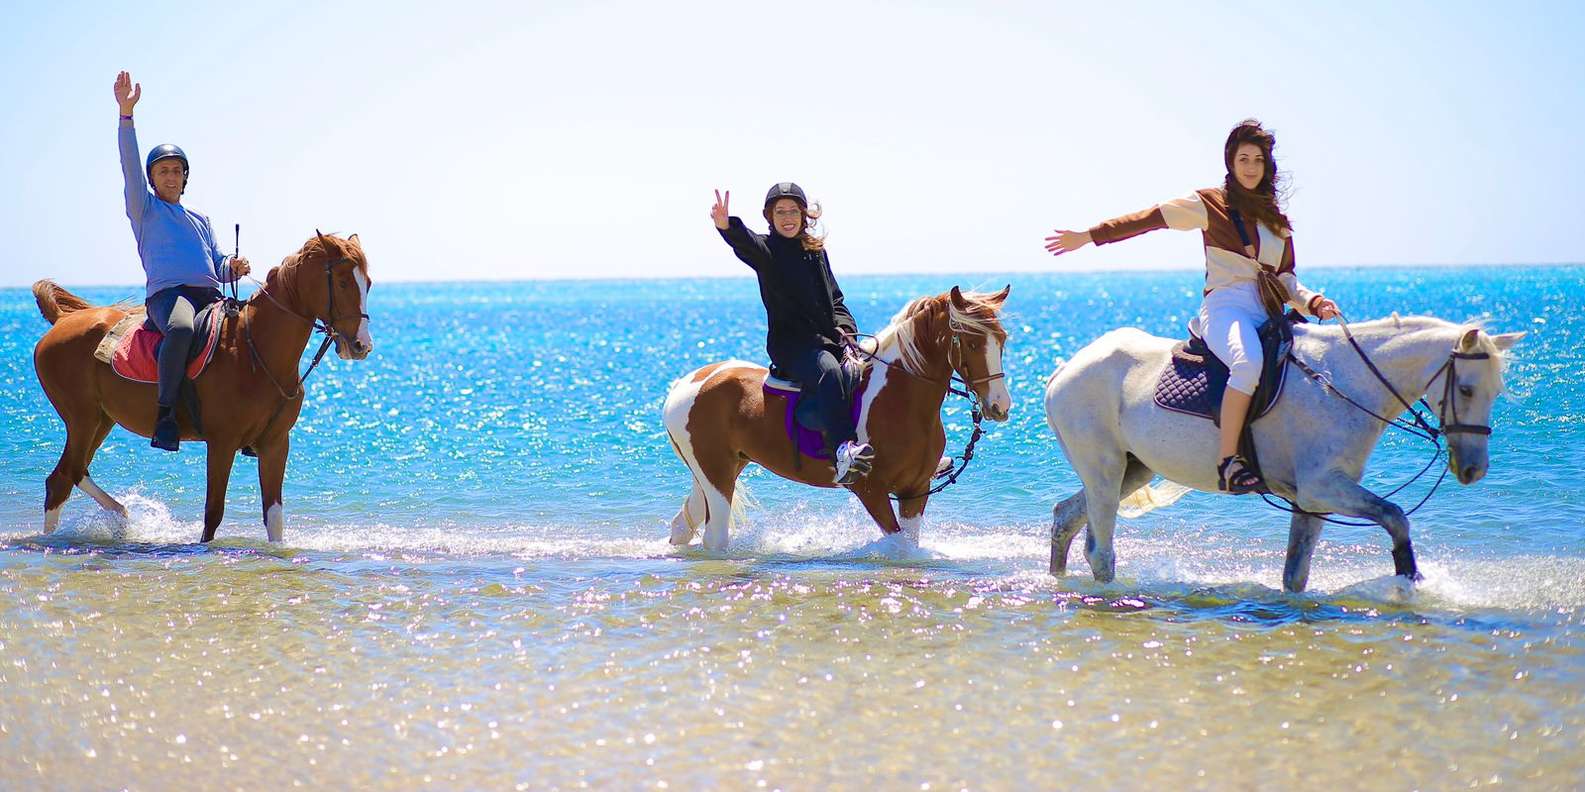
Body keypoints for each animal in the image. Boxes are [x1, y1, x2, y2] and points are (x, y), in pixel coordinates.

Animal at [31, 232, 374, 543]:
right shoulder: (221, 443)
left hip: (102, 420)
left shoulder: (276, 444)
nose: (361, 346)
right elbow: (213, 513)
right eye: (343, 282)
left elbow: (274, 517)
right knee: (67, 475)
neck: (253, 349)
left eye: (367, 283)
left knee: (64, 478)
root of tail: (62, 321)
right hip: (82, 420)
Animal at [663, 286, 1013, 552]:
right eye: (970, 342)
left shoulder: (915, 489)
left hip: (723, 468)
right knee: (714, 536)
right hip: (716, 473)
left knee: (683, 523)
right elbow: (898, 545)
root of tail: (688, 382)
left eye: (1003, 340)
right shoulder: (870, 490)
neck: (899, 401)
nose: (1000, 406)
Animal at [1043, 314, 1523, 592]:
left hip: (1132, 470)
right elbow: (1395, 517)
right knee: (1100, 550)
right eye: (1466, 389)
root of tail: (1065, 368)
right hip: (1105, 470)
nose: (1473, 469)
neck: (1342, 382)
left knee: (1068, 516)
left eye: (1496, 391)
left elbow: (1296, 573)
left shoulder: (1310, 500)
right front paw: (1407, 578)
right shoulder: (1321, 487)